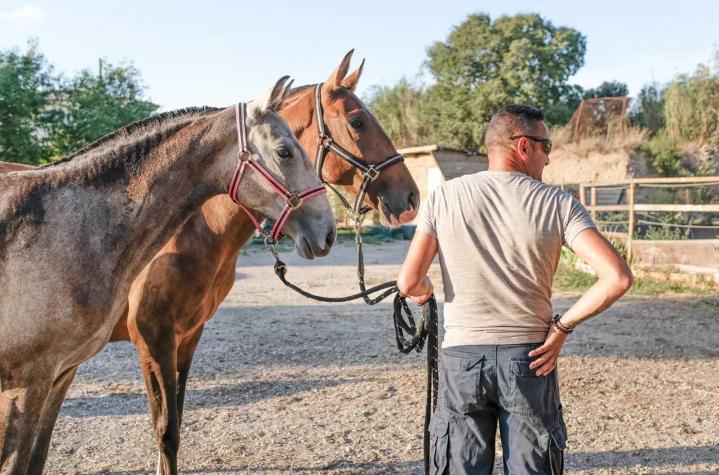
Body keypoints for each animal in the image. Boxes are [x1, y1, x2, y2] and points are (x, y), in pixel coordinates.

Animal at [104, 50, 420, 474]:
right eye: (357, 121)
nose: (411, 197)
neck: (188, 227)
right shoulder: (153, 341)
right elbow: (166, 432)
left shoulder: (187, 336)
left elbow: (176, 423)